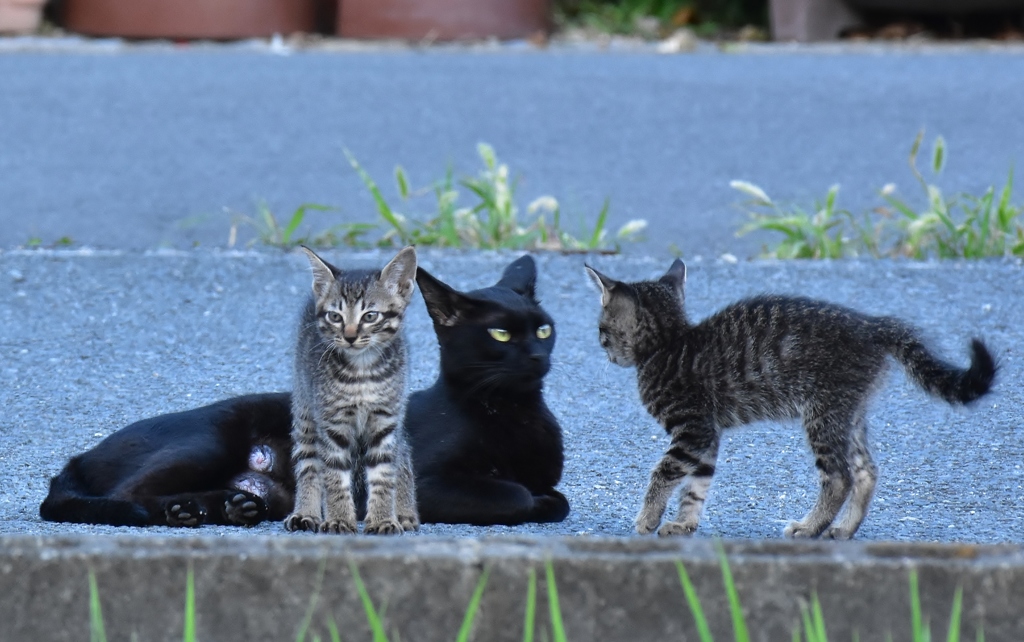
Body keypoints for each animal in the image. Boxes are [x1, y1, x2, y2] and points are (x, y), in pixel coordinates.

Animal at [282, 248, 417, 536]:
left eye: (370, 316)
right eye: (335, 317)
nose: (350, 336)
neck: (362, 371)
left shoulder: (386, 419)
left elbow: (384, 472)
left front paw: (382, 519)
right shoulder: (332, 422)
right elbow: (334, 475)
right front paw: (339, 519)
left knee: (403, 452)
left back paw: (404, 511)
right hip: (304, 408)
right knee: (308, 461)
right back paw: (306, 512)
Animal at [405, 255, 569, 528]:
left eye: (544, 330)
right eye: (501, 334)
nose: (538, 355)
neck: (515, 410)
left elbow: (562, 502)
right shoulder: (422, 484)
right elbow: (518, 494)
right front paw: (536, 503)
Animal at [589, 261, 995, 540]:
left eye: (601, 329)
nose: (603, 349)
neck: (669, 344)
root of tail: (871, 324)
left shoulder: (693, 430)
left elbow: (664, 472)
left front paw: (648, 518)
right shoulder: (708, 435)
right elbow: (696, 485)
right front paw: (683, 523)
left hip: (821, 412)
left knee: (840, 476)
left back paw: (810, 527)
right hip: (849, 413)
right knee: (866, 471)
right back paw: (843, 529)